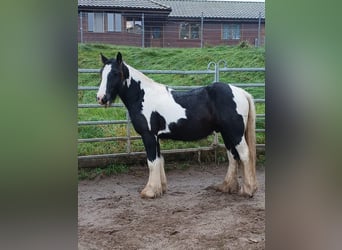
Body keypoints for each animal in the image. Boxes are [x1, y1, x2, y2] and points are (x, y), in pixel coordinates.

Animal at [96, 52, 256, 199]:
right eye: (101, 73)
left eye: (115, 73)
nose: (101, 98)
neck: (142, 96)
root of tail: (241, 92)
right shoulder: (156, 137)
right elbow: (159, 160)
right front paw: (160, 189)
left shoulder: (148, 135)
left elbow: (151, 162)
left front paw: (149, 191)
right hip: (226, 133)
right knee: (233, 156)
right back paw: (227, 187)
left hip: (235, 134)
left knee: (244, 154)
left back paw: (247, 190)